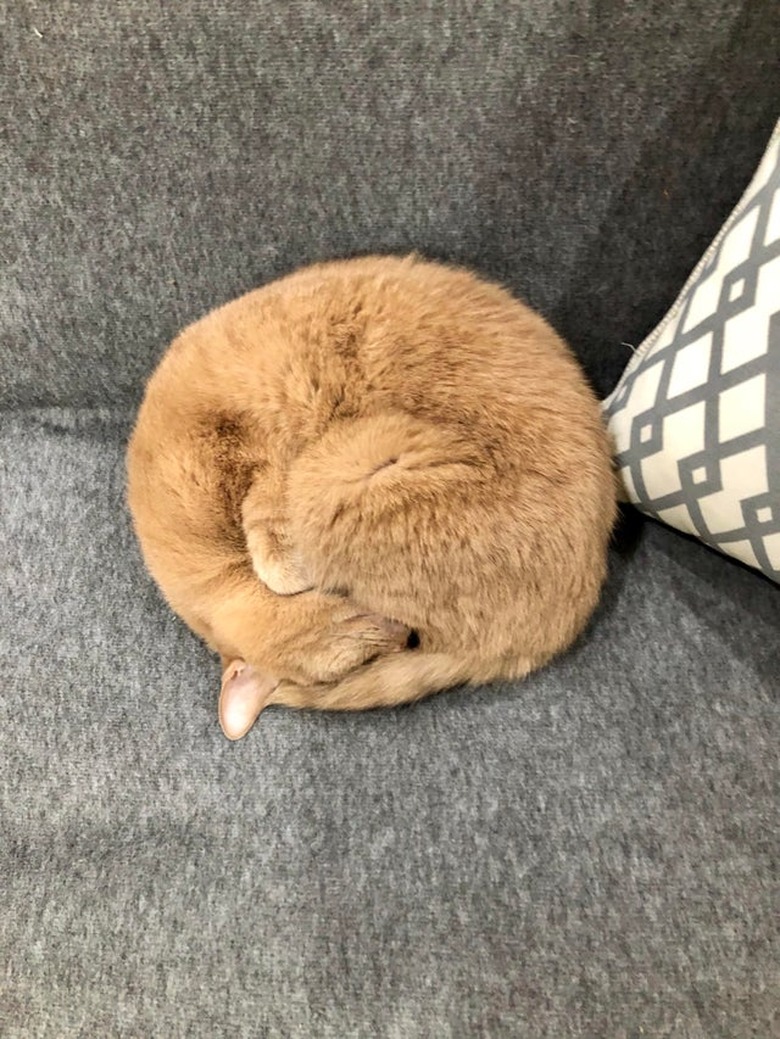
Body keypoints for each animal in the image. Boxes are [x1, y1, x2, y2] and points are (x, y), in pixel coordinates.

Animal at [128, 253, 614, 739]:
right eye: (365, 654)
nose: (403, 637)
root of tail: (555, 634)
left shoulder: (258, 453)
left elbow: (272, 534)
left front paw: (283, 567)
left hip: (329, 477)